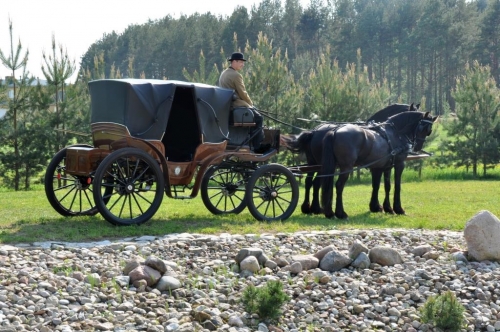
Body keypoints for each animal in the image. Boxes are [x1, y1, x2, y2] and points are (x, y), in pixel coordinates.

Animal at [282, 102, 418, 214]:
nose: (417, 145)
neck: (387, 132)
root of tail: (314, 131)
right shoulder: (394, 164)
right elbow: (391, 185)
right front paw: (391, 208)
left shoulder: (378, 166)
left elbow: (378, 185)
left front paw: (376, 206)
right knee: (321, 183)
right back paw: (325, 210)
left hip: (314, 163)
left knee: (310, 182)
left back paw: (311, 208)